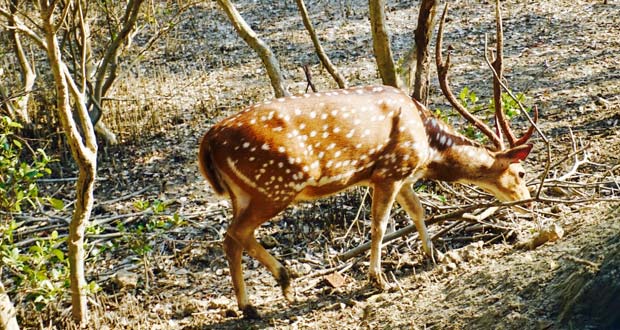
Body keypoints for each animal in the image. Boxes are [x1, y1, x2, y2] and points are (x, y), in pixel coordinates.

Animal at [200, 1, 536, 320]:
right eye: (521, 173)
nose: (529, 203)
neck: (428, 145)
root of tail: (209, 141)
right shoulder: (389, 172)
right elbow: (379, 224)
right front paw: (378, 279)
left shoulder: (402, 176)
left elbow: (418, 211)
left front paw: (432, 255)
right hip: (275, 184)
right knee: (235, 234)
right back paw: (271, 290)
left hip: (244, 192)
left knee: (233, 237)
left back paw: (262, 296)